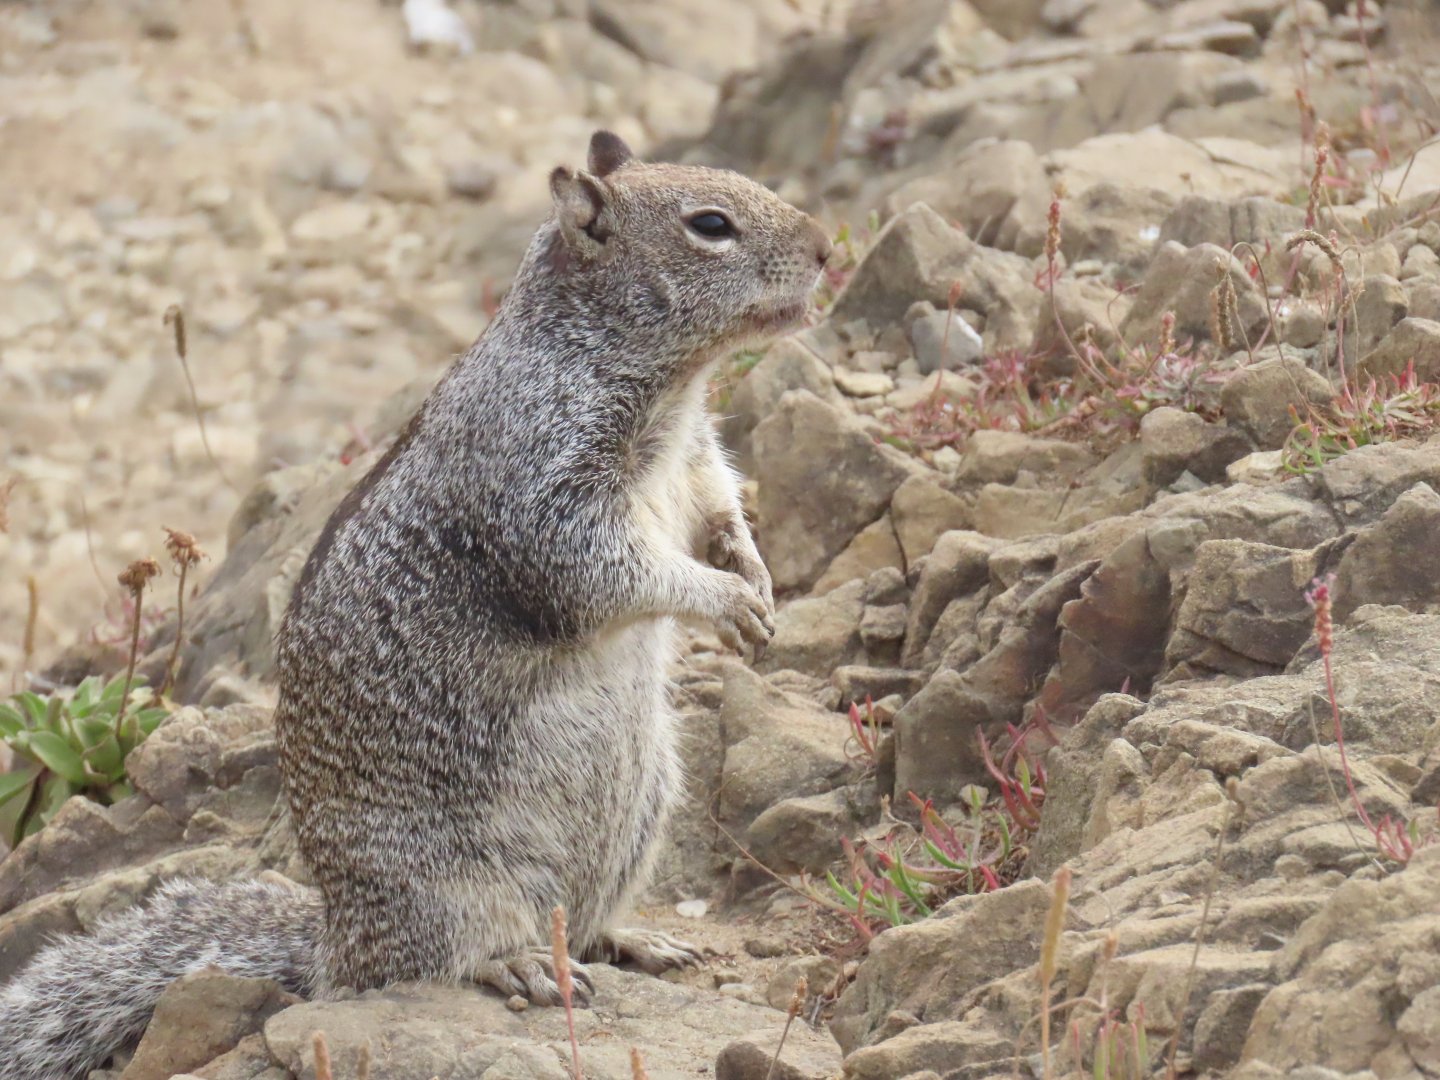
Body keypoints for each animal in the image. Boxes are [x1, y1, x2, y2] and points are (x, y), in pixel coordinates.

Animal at [0, 131, 831, 1080]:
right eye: (711, 225)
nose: (825, 249)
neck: (663, 383)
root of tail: (338, 944)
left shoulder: (695, 457)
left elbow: (720, 504)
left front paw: (754, 575)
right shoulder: (541, 484)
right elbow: (604, 571)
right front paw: (721, 598)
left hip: (644, 812)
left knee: (584, 924)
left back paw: (640, 941)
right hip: (450, 886)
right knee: (456, 955)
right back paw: (520, 965)